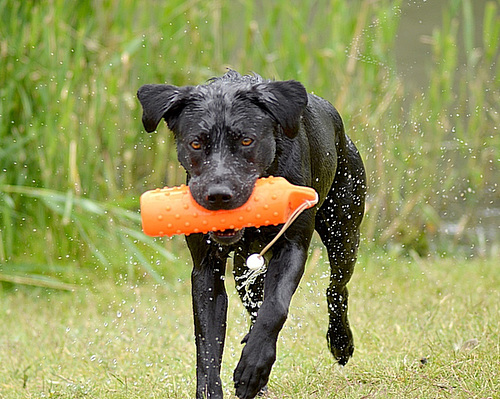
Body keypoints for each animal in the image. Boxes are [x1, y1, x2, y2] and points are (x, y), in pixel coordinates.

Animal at [139, 70, 366, 398]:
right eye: (195, 144)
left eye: (247, 140)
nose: (218, 195)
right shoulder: (206, 269)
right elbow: (207, 342)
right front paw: (212, 388)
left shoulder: (292, 246)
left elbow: (275, 307)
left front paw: (253, 368)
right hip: (245, 268)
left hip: (343, 229)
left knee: (337, 287)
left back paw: (340, 342)